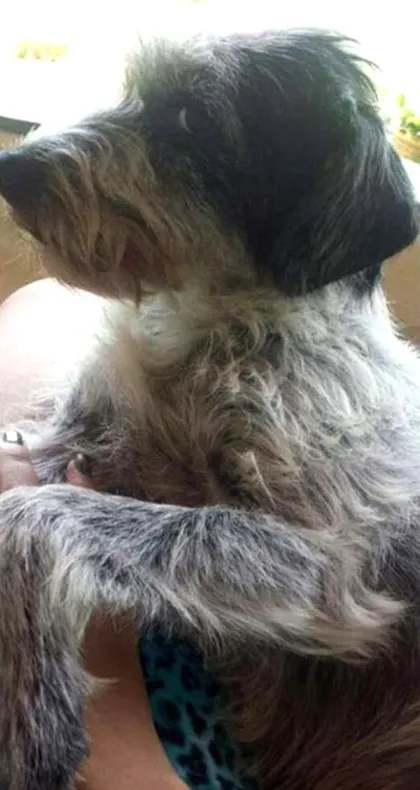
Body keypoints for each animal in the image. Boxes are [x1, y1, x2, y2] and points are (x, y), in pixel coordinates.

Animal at [0, 28, 418, 790]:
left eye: (193, 118)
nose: (9, 166)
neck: (208, 326)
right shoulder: (76, 431)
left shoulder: (333, 566)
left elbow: (39, 516)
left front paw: (33, 712)